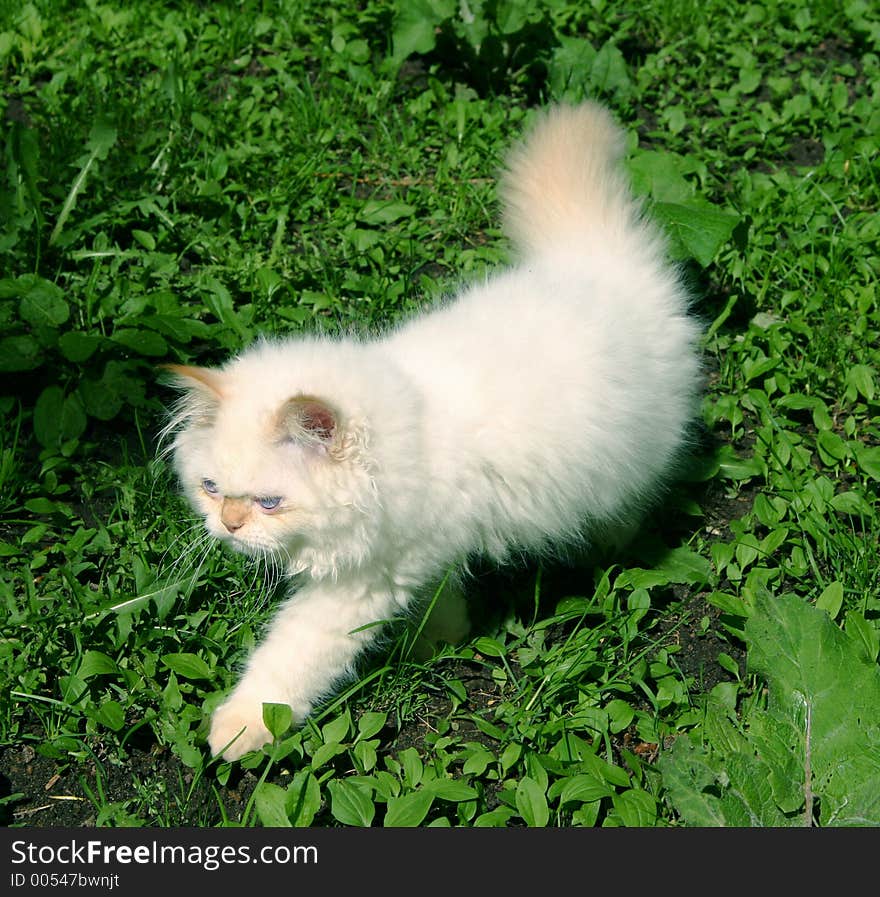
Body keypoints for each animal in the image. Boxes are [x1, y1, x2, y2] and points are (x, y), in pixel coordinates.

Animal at [163, 101, 700, 760]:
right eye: (211, 489)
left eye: (269, 502)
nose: (228, 525)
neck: (407, 432)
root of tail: (598, 259)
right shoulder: (421, 554)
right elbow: (438, 598)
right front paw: (442, 639)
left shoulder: (360, 586)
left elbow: (288, 659)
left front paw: (240, 727)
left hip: (631, 459)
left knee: (631, 504)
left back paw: (607, 545)